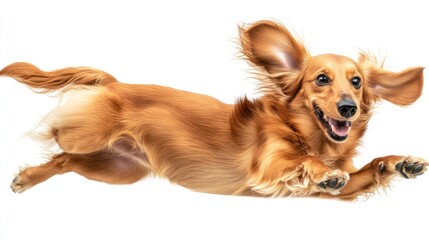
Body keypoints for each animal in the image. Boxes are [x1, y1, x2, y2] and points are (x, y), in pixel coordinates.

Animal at [1, 20, 426, 200]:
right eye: (321, 79)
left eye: (356, 82)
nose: (348, 108)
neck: (306, 133)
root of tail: (113, 83)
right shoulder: (268, 166)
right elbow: (305, 164)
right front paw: (324, 170)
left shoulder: (330, 193)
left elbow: (366, 170)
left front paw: (399, 163)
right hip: (88, 137)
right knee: (58, 138)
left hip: (119, 170)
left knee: (65, 161)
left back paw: (27, 179)